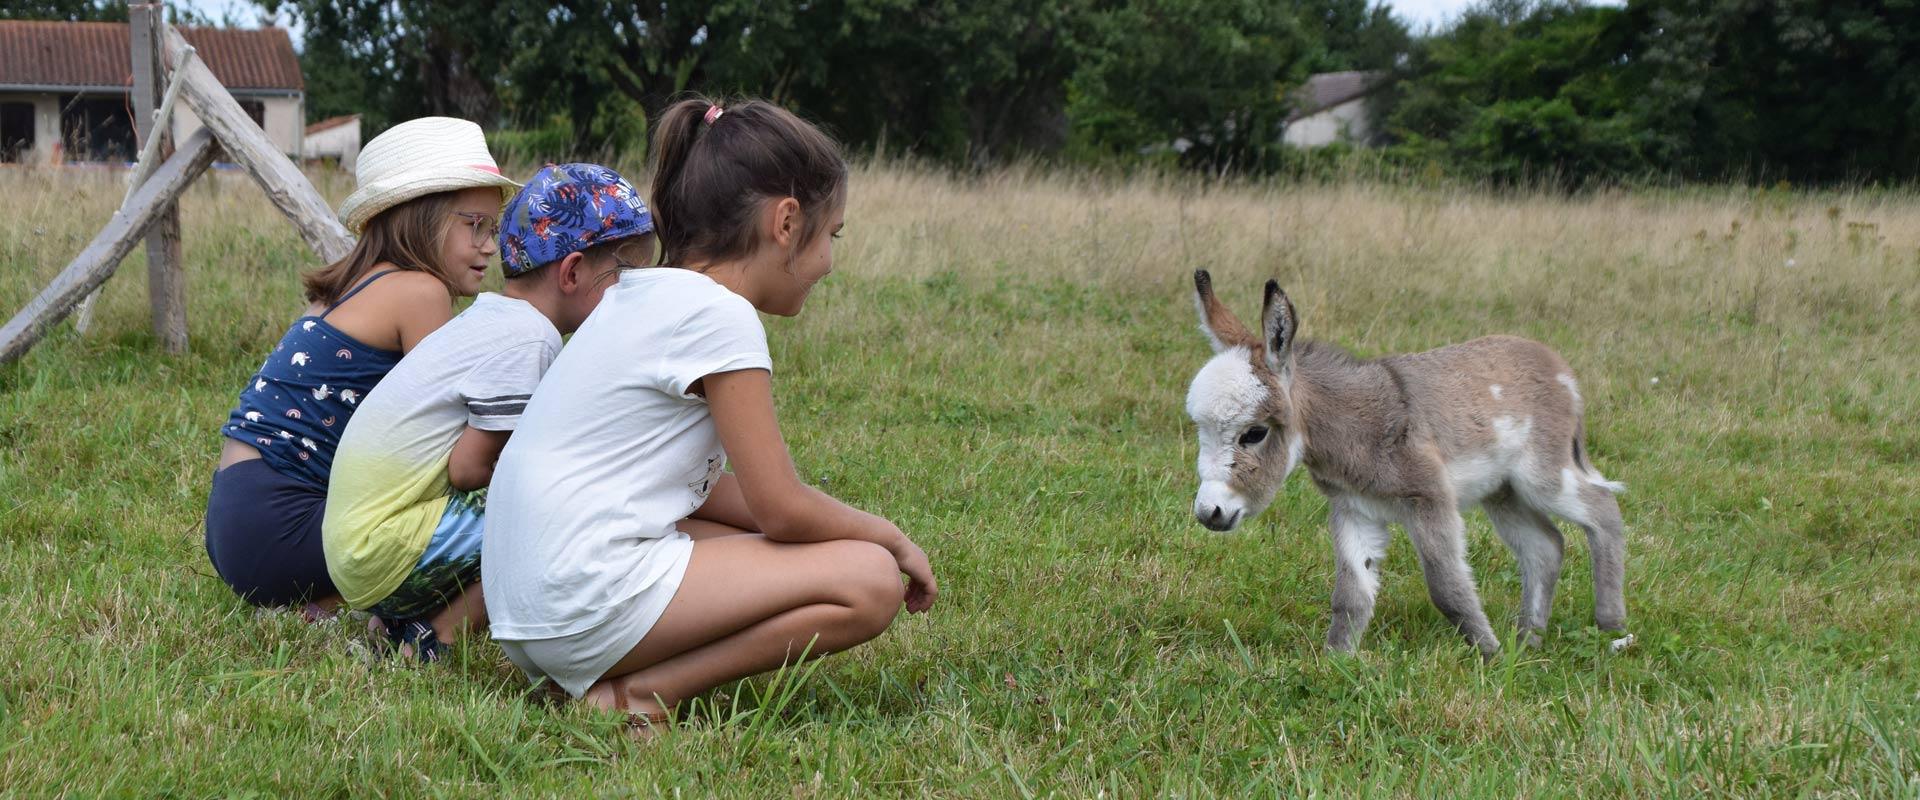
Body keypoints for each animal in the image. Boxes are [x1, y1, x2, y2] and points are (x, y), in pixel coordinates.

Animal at [1175, 270, 1628, 656]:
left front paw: (1491, 657)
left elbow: (1447, 587)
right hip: (1503, 492)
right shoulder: (1355, 510)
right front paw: (1336, 663)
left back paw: (1612, 628)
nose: (1209, 513)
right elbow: (1350, 596)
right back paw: (1528, 641)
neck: (1357, 428)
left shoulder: (1428, 498)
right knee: (1545, 546)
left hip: (1541, 474)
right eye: (1201, 429)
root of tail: (1557, 365)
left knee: (1603, 511)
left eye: (1254, 433)